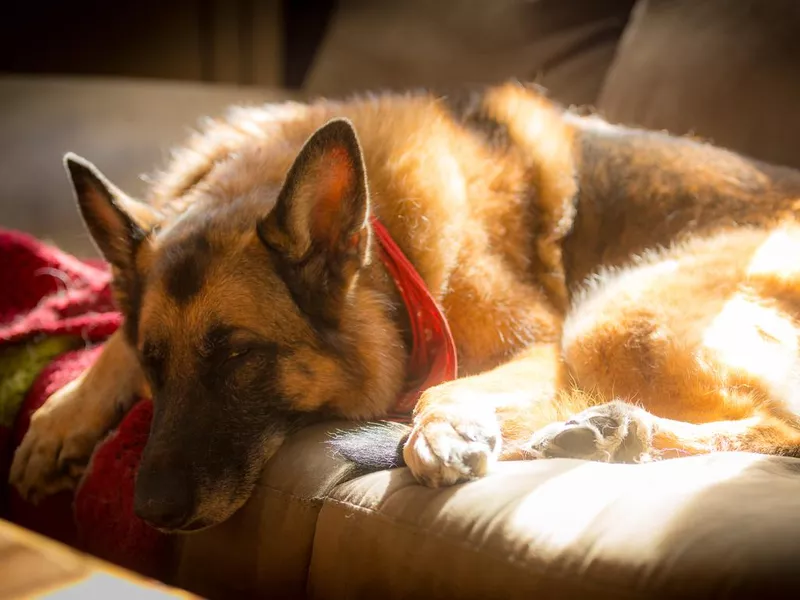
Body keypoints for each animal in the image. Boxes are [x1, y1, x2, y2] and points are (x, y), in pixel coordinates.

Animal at [9, 81, 800, 536]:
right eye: (155, 365)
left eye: (237, 354)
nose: (150, 511)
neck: (391, 258)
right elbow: (111, 341)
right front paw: (62, 417)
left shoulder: (538, 343)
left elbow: (447, 388)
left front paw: (442, 428)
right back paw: (602, 432)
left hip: (615, 314)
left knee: (780, 427)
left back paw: (603, 432)